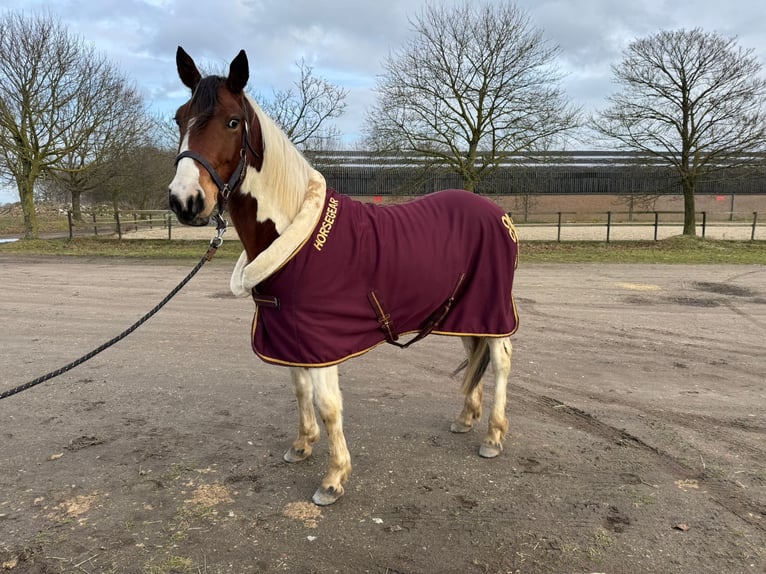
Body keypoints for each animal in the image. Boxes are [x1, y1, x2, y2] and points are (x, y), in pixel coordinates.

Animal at [168, 47, 519, 506]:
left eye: (232, 121)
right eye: (179, 118)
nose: (185, 202)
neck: (295, 234)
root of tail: (499, 214)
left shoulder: (322, 342)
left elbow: (328, 405)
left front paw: (333, 478)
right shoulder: (291, 334)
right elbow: (300, 391)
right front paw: (302, 446)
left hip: (493, 310)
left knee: (500, 361)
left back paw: (493, 437)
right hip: (464, 311)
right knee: (474, 354)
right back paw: (465, 419)